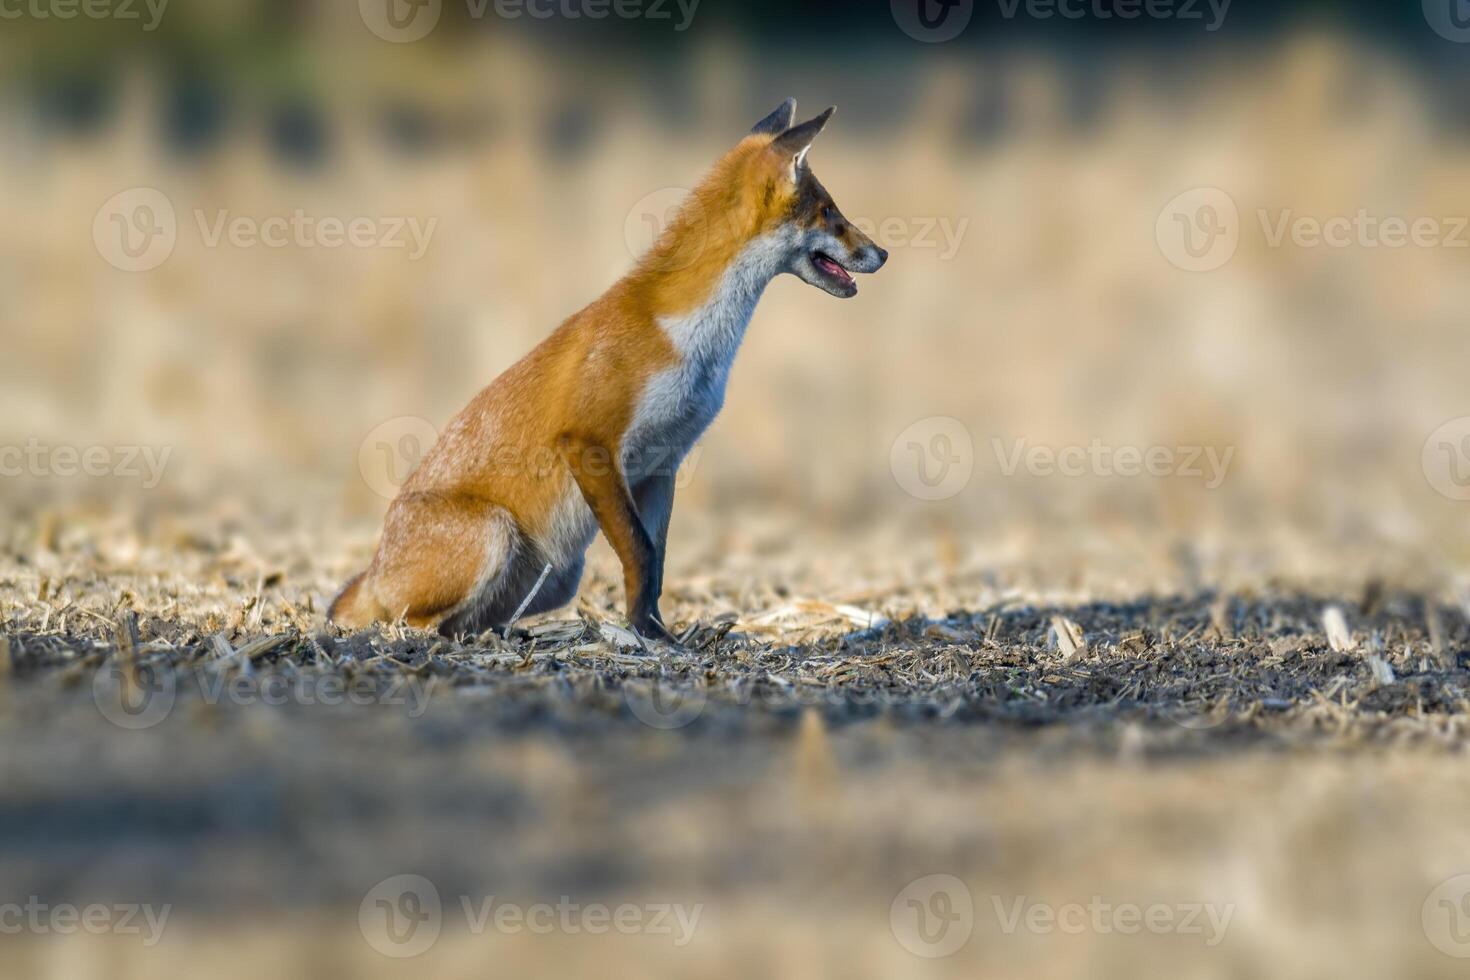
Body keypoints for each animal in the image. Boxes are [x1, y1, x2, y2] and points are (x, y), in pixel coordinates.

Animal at [330, 97, 882, 637]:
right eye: (829, 212)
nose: (883, 252)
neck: (692, 340)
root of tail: (373, 568)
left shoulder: (662, 463)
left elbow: (656, 563)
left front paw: (653, 632)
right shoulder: (589, 442)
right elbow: (639, 551)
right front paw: (645, 639)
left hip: (557, 576)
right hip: (494, 536)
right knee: (408, 623)